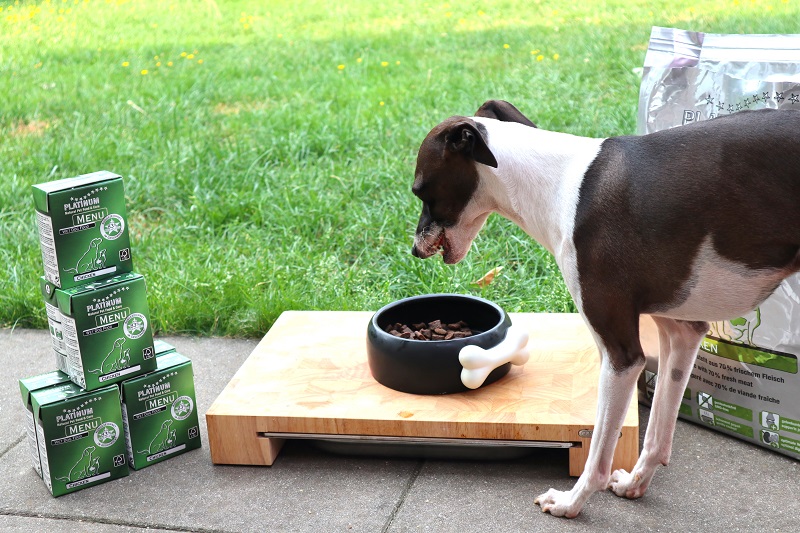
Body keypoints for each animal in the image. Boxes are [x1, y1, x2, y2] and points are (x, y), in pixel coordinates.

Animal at [412, 100, 800, 516]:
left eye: (419, 190)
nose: (414, 251)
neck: (559, 185)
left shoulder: (621, 356)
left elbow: (598, 453)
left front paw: (570, 502)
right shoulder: (682, 331)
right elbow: (657, 435)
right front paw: (634, 483)